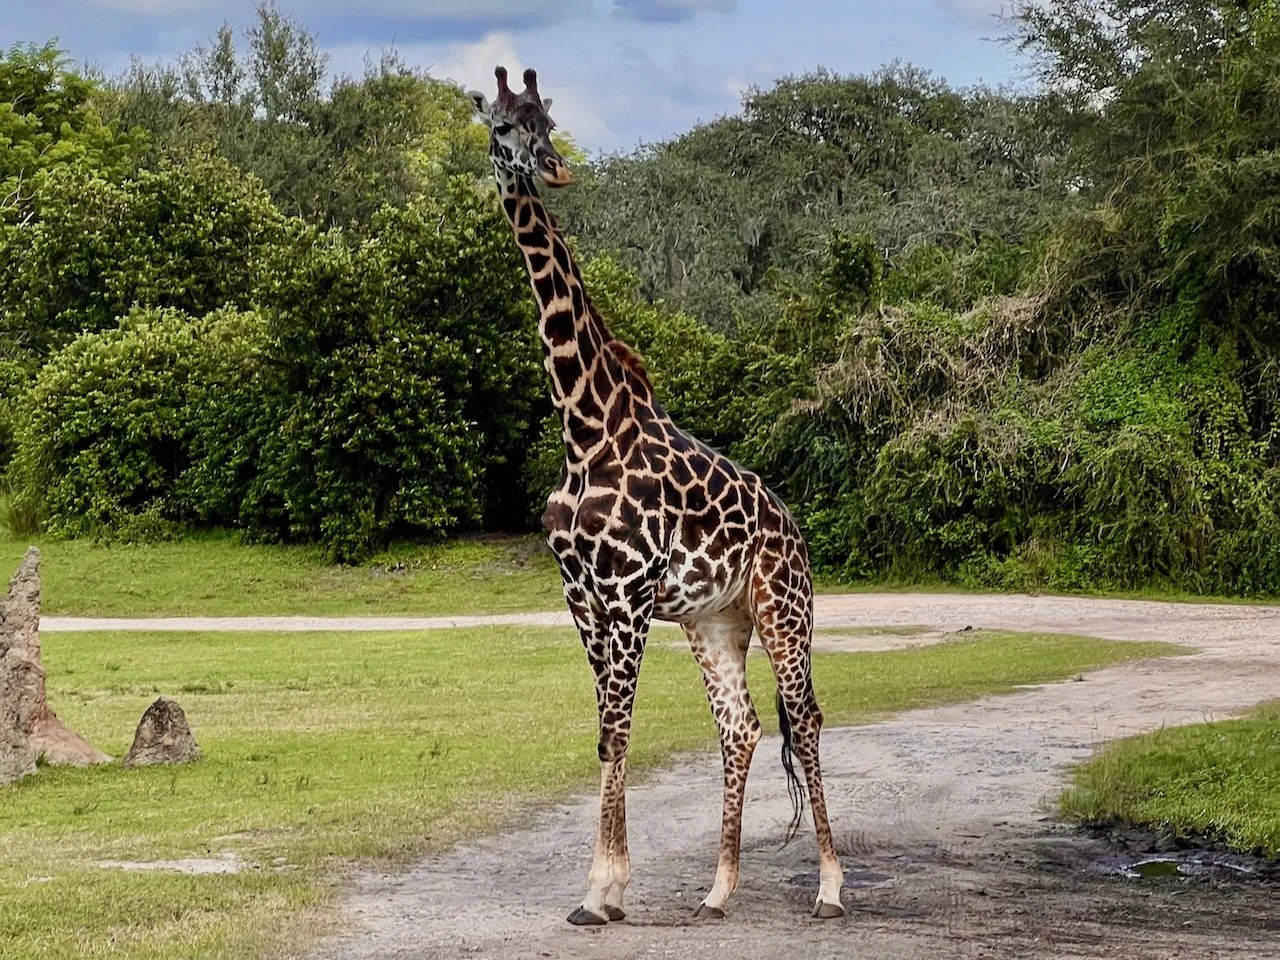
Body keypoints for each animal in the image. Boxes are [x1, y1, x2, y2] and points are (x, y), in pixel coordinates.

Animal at [469, 66, 844, 925]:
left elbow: (619, 729)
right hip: (716, 621)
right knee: (741, 726)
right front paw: (603, 889)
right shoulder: (581, 596)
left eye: (546, 122)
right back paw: (718, 891)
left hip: (785, 608)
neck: (585, 429)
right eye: (502, 128)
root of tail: (793, 527)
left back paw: (831, 888)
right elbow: (606, 734)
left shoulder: (629, 593)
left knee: (805, 716)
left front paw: (601, 892)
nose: (553, 168)